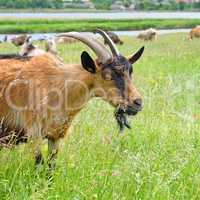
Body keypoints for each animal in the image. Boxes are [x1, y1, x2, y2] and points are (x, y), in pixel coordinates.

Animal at [0, 28, 145, 168]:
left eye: (130, 72)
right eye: (107, 76)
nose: (137, 103)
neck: (58, 86)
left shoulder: (55, 135)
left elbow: (51, 167)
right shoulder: (34, 134)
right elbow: (39, 165)